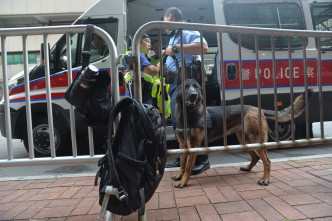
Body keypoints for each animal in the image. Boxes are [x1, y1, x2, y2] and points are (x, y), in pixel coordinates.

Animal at [172, 77, 312, 188]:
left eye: (196, 87)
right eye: (186, 87)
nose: (193, 95)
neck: (187, 115)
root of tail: (258, 109)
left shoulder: (193, 146)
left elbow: (188, 167)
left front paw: (183, 182)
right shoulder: (182, 145)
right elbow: (182, 163)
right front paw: (179, 175)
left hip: (256, 140)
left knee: (267, 161)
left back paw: (265, 180)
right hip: (245, 140)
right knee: (256, 157)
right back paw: (248, 168)